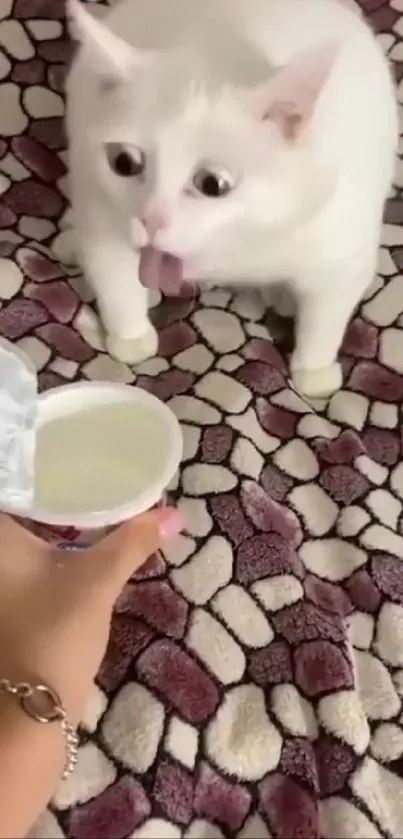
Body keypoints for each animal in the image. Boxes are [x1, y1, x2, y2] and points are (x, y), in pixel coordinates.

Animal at [66, 0, 398, 398]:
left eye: (213, 183)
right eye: (124, 163)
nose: (151, 219)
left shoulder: (342, 247)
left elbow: (327, 312)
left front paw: (315, 370)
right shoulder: (101, 216)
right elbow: (115, 279)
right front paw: (130, 336)